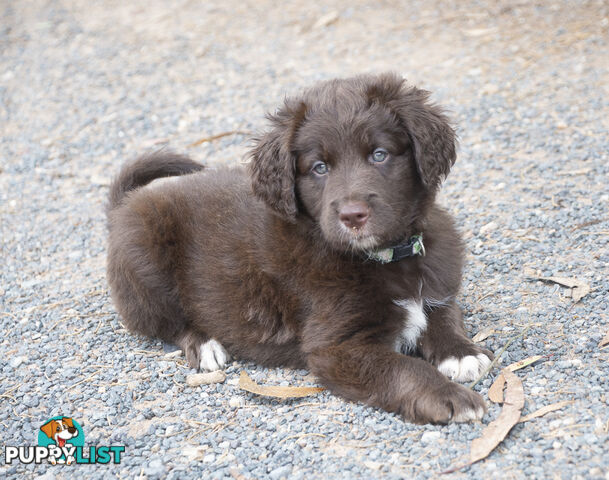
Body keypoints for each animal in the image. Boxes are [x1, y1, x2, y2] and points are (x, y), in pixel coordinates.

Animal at [107, 73, 492, 422]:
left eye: (379, 154)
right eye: (319, 167)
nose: (353, 216)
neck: (383, 258)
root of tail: (124, 206)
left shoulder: (437, 287)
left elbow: (444, 315)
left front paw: (462, 354)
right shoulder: (337, 347)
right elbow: (402, 368)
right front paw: (449, 397)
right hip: (144, 257)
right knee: (166, 323)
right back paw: (205, 345)